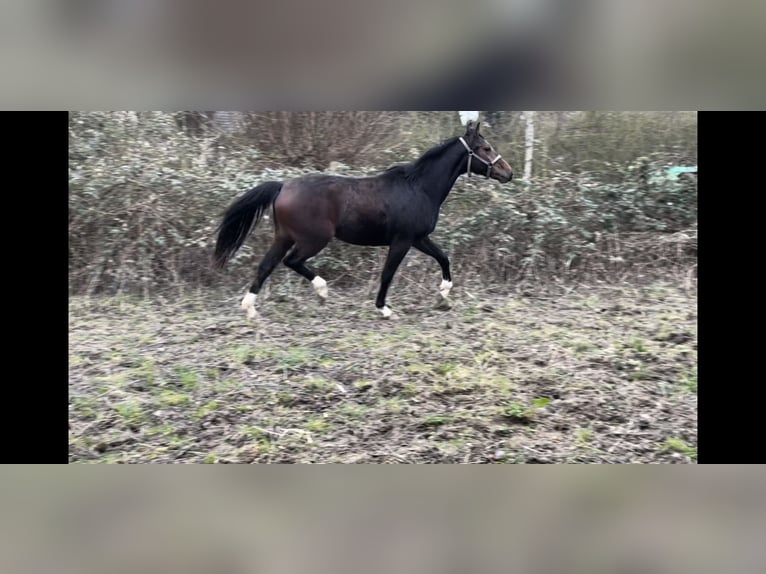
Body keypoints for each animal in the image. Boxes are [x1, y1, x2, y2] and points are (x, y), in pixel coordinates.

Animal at [214, 121, 516, 320]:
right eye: (485, 148)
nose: (509, 173)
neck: (418, 188)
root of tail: (283, 186)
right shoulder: (402, 241)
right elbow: (388, 273)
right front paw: (384, 309)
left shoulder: (419, 238)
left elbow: (443, 258)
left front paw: (443, 296)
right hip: (313, 239)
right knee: (292, 262)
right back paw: (322, 291)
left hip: (284, 237)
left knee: (266, 266)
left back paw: (250, 309)